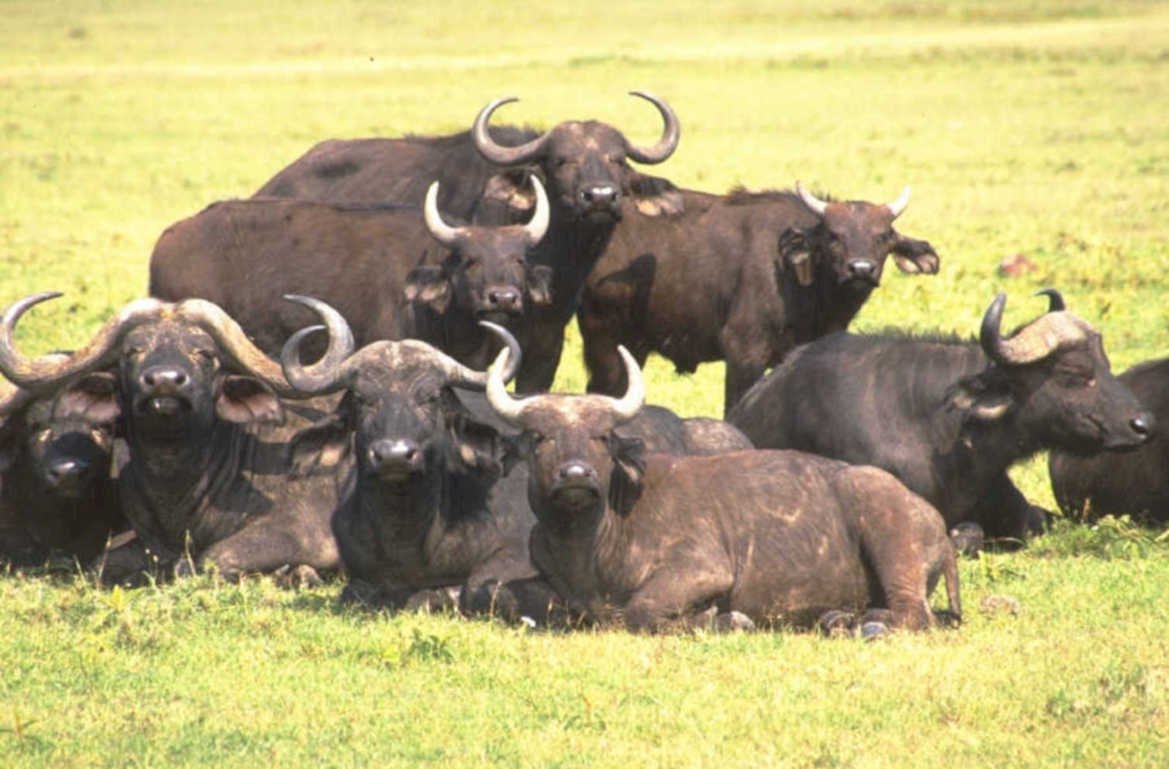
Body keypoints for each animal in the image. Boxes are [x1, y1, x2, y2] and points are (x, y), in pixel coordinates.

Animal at [0, 292, 354, 584]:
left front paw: (295, 572)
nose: (164, 382)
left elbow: (207, 559)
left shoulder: (301, 534)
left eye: (204, 353)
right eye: (132, 351)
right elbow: (101, 564)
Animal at [484, 344, 960, 633]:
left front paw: (719, 618)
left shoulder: (702, 568)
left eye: (601, 436)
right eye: (540, 437)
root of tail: (932, 518)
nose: (576, 475)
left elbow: (640, 609)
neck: (592, 542)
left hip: (885, 526)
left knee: (913, 612)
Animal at [579, 182, 939, 413]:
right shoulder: (743, 351)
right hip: (604, 341)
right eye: (834, 236)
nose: (861, 269)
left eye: (884, 236)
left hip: (634, 347)